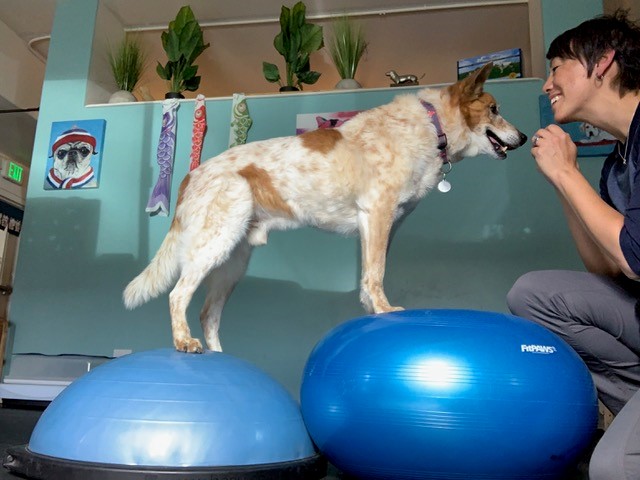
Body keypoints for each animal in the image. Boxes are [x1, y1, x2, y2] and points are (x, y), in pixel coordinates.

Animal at [124, 62, 524, 352]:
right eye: (494, 109)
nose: (522, 138)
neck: (432, 124)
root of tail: (191, 175)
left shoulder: (381, 226)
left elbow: (369, 276)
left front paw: (371, 311)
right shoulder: (377, 214)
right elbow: (376, 274)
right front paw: (385, 311)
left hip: (231, 262)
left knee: (209, 314)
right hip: (214, 245)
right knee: (178, 296)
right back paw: (183, 342)